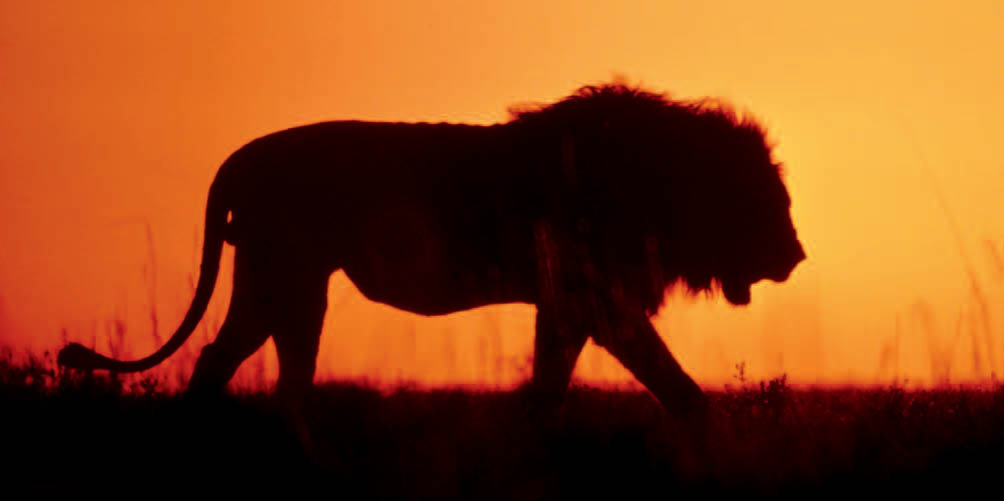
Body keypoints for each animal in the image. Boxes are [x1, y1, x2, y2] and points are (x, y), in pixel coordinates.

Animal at [58, 84, 803, 417]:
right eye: (769, 201)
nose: (795, 257)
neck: (659, 177)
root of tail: (245, 156)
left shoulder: (573, 304)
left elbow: (556, 386)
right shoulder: (593, 298)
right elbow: (669, 381)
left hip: (286, 284)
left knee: (267, 373)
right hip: (283, 275)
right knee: (233, 363)